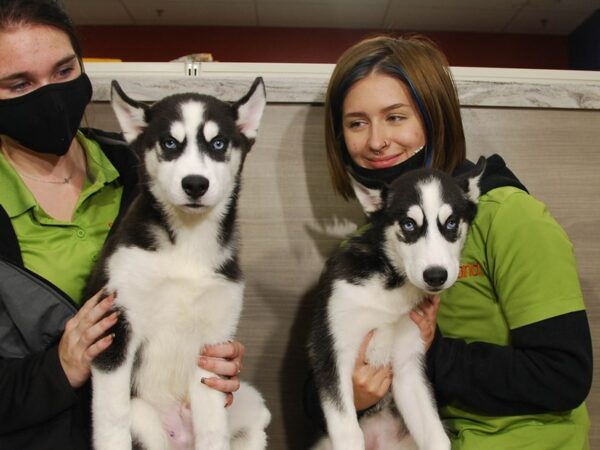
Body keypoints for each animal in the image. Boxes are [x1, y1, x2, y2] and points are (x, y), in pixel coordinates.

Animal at [86, 78, 270, 450]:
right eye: (169, 143)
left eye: (218, 143)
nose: (195, 184)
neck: (186, 245)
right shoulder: (116, 328)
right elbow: (112, 419)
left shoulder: (213, 346)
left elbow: (213, 428)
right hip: (143, 416)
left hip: (250, 408)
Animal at [308, 159, 486, 450]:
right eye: (409, 225)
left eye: (451, 223)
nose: (435, 275)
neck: (391, 283)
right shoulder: (331, 352)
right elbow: (348, 433)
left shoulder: (408, 365)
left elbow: (436, 437)